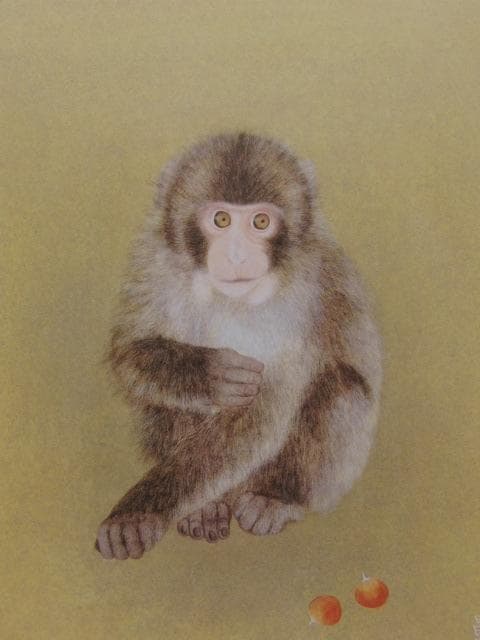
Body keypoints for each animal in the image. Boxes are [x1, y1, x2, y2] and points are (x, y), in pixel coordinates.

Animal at [95, 132, 382, 560]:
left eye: (261, 222)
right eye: (221, 219)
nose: (237, 255)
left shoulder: (294, 301)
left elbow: (263, 414)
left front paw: (141, 510)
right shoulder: (155, 260)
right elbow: (130, 352)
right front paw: (210, 374)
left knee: (343, 391)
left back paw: (275, 498)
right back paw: (206, 509)